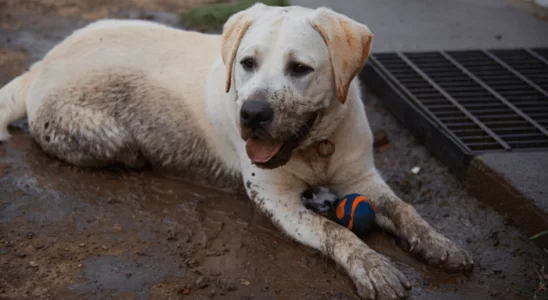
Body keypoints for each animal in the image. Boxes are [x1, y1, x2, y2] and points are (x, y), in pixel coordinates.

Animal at [0, 3, 470, 298]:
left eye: (300, 68)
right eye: (247, 63)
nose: (253, 113)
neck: (316, 145)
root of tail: (39, 66)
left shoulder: (363, 178)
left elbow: (406, 210)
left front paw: (439, 243)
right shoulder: (276, 199)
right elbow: (335, 231)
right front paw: (372, 265)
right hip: (108, 135)